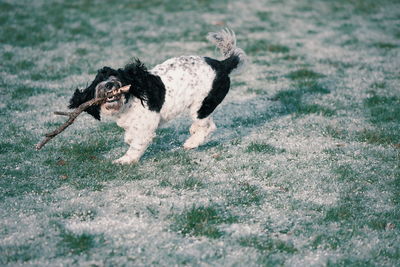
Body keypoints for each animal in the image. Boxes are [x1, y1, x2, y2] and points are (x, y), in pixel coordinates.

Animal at [69, 28, 247, 163]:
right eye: (99, 80)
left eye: (115, 76)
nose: (109, 85)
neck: (129, 100)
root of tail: (222, 65)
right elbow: (129, 137)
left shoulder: (146, 127)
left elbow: (136, 145)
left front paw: (124, 160)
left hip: (202, 105)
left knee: (208, 126)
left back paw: (191, 143)